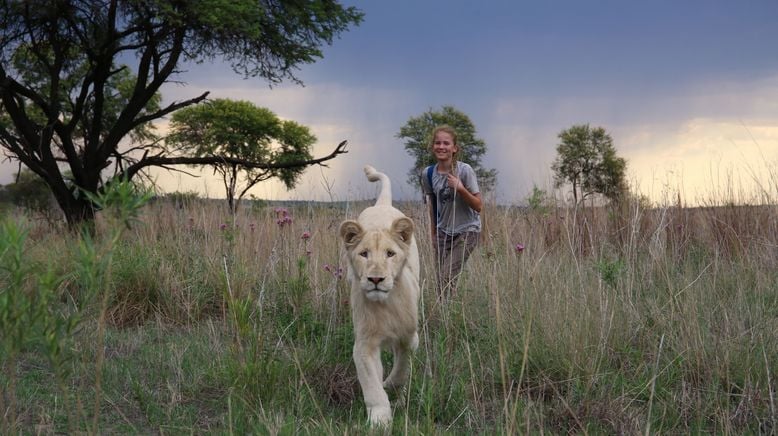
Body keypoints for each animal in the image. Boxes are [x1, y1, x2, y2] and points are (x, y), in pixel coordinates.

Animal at [338, 164, 418, 426]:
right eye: (364, 254)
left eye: (390, 254)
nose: (375, 279)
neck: (385, 304)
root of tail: (382, 204)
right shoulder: (364, 344)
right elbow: (372, 384)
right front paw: (380, 419)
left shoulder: (409, 337)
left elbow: (402, 368)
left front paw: (391, 385)